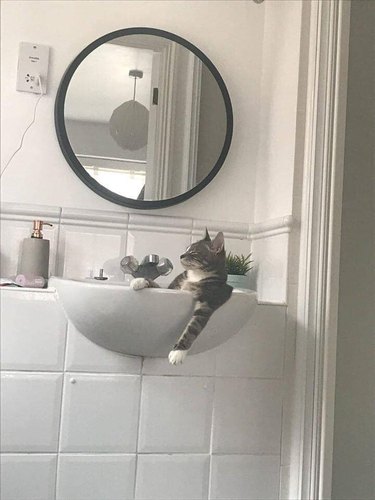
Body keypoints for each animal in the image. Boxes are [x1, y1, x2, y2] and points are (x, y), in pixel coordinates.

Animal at [131, 229, 234, 364]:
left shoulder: (207, 304)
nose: (181, 255)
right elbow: (157, 285)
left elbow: (192, 329)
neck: (196, 276)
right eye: (186, 249)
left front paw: (178, 352)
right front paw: (139, 281)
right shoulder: (173, 289)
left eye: (193, 252)